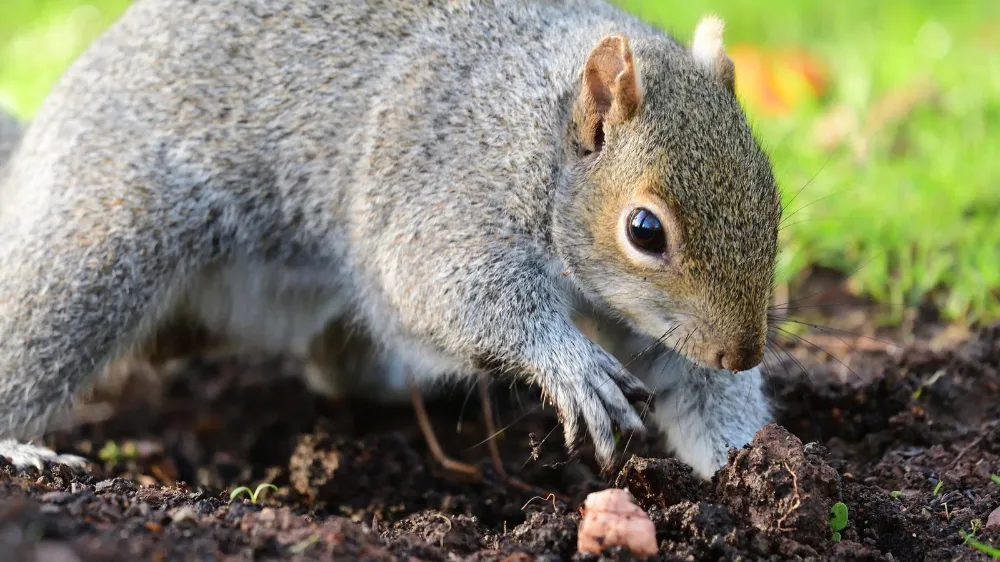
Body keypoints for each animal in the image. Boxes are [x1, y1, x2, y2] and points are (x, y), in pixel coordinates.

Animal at [0, 0, 779, 480]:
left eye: (771, 192)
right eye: (644, 230)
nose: (742, 353)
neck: (541, 129)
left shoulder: (659, 326)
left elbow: (692, 384)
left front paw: (750, 467)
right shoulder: (449, 186)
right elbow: (445, 287)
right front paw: (571, 365)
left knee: (335, 363)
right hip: (106, 236)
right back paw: (22, 453)